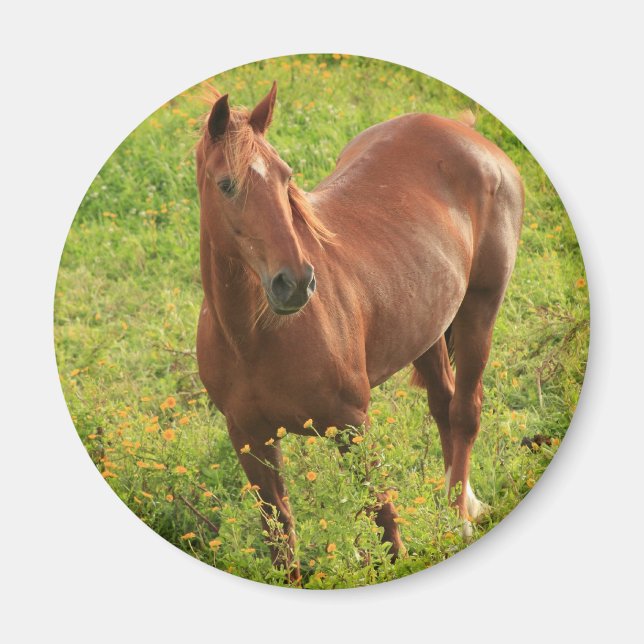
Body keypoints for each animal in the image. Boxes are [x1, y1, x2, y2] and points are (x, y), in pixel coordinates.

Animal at [196, 81, 524, 582]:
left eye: (285, 177)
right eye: (226, 184)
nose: (296, 282)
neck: (254, 337)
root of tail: (463, 131)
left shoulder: (352, 425)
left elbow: (384, 524)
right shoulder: (249, 439)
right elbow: (282, 538)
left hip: (480, 309)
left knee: (466, 412)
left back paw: (459, 521)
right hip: (427, 326)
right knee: (444, 407)